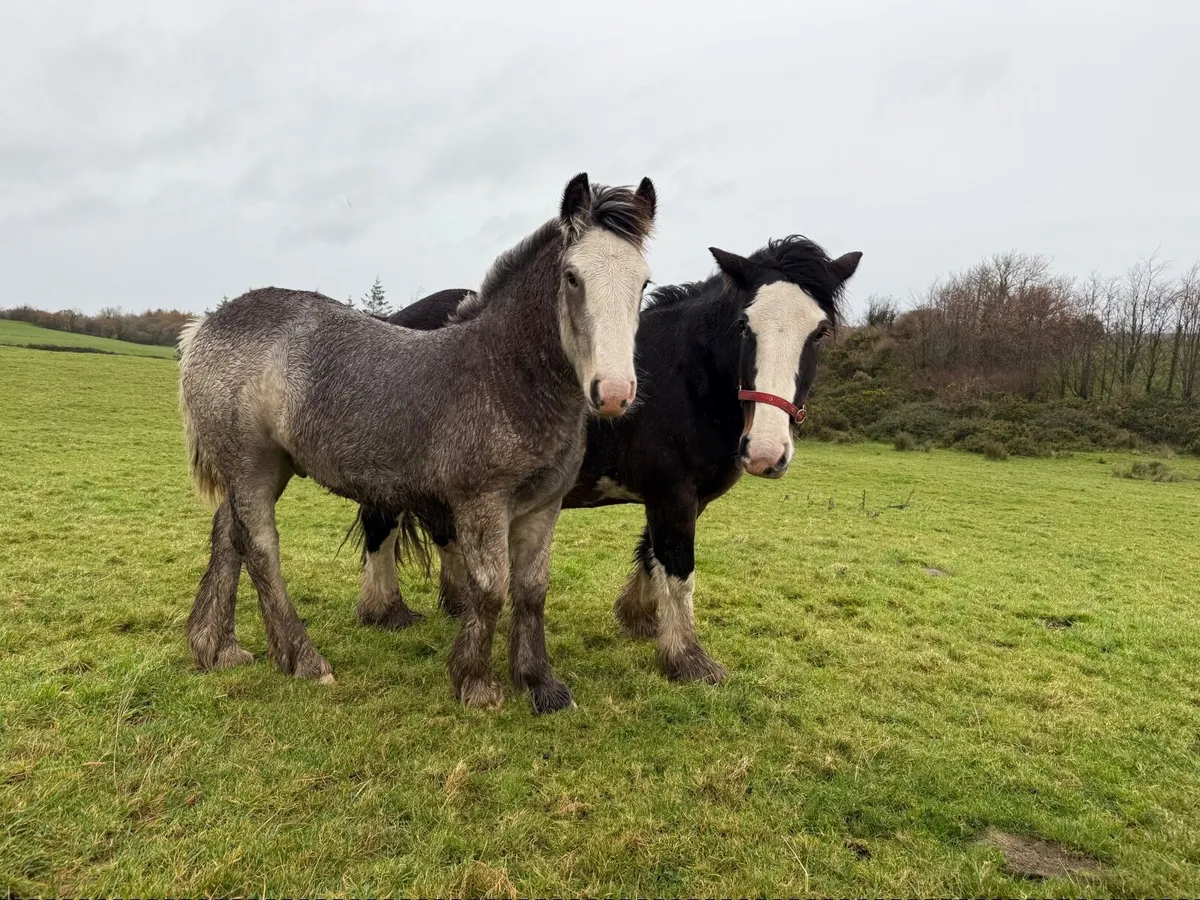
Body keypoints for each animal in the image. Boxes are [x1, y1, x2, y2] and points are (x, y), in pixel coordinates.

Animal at [178, 173, 658, 713]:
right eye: (573, 277)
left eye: (644, 283)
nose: (613, 392)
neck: (505, 376)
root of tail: (206, 325)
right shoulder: (480, 503)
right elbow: (491, 588)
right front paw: (476, 684)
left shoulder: (543, 506)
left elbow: (532, 590)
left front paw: (541, 685)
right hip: (251, 465)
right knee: (259, 547)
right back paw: (303, 659)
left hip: (266, 467)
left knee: (227, 535)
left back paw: (215, 646)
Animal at [362, 235, 860, 683]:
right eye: (744, 326)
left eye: (819, 332)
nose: (765, 451)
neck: (686, 377)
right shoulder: (673, 495)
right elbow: (679, 569)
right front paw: (688, 659)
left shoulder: (681, 498)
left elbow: (652, 554)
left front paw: (640, 618)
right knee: (380, 525)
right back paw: (385, 610)